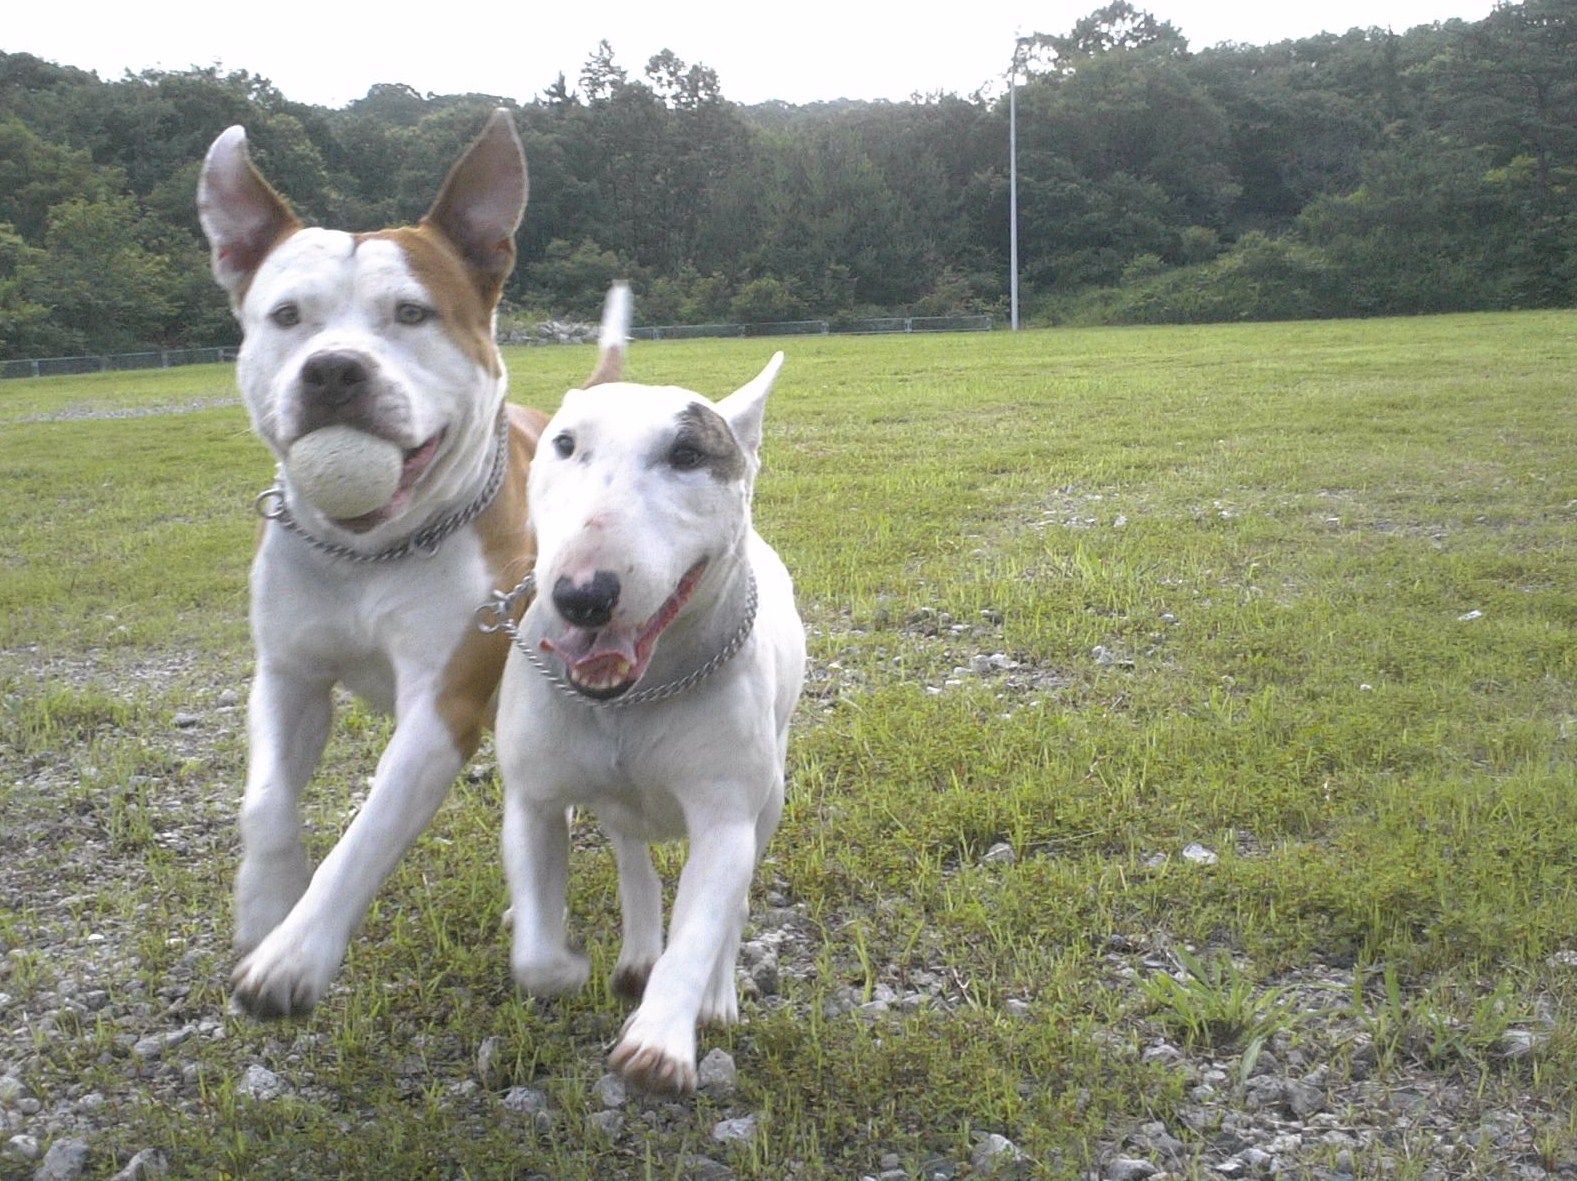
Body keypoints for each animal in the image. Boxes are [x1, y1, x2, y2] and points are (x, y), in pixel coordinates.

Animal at [196, 108, 580, 1015]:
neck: (368, 550)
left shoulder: (442, 700)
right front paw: (265, 907)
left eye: (412, 313)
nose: (334, 369)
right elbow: (264, 800)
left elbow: (368, 828)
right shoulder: (287, 673)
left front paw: (294, 953)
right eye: (286, 315)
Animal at [488, 290, 807, 1091]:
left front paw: (661, 1041)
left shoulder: (726, 816)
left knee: (734, 901)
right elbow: (537, 945)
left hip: (771, 790)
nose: (583, 597)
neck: (634, 697)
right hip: (617, 804)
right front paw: (562, 963)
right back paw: (635, 949)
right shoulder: (535, 798)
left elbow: (706, 924)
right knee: (633, 853)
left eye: (688, 454)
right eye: (564, 445)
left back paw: (713, 996)